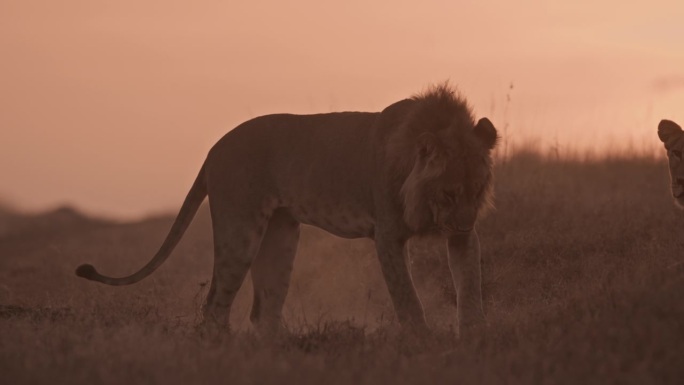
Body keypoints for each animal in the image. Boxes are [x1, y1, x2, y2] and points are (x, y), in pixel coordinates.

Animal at [77, 84, 500, 336]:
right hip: (240, 231)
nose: (464, 224)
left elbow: (470, 285)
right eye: (448, 193)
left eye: (477, 189)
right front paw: (422, 342)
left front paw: (475, 336)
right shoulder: (388, 235)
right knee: (214, 308)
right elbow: (407, 296)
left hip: (281, 233)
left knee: (263, 310)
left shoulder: (464, 238)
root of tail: (214, 148)